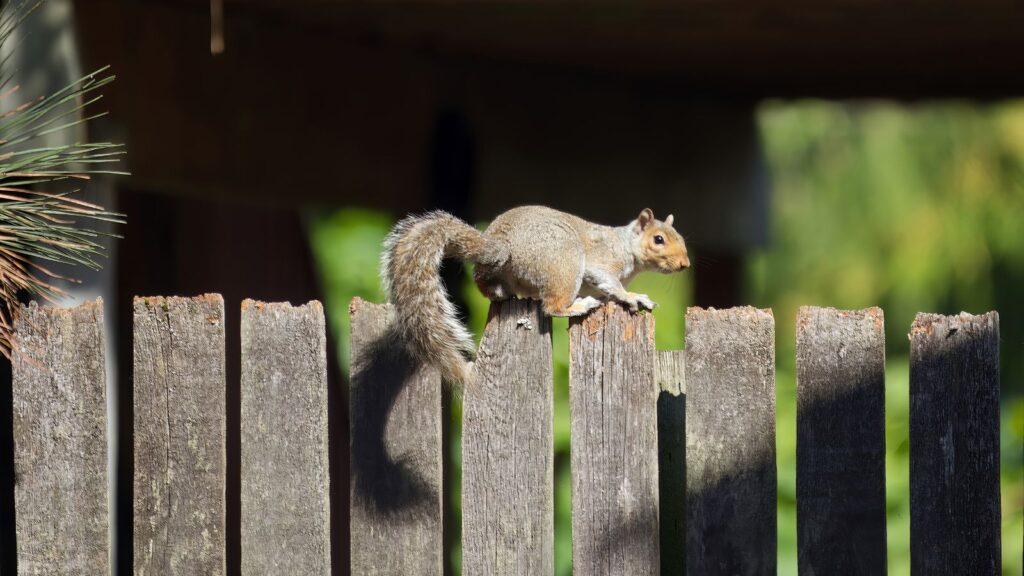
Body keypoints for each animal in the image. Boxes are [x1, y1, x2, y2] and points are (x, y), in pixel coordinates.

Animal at [380, 203, 692, 383]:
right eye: (658, 239)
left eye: (681, 238)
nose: (684, 265)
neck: (626, 245)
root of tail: (503, 247)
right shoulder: (602, 262)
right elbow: (611, 283)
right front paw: (632, 297)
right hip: (564, 262)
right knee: (552, 306)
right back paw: (578, 305)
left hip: (500, 276)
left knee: (487, 285)